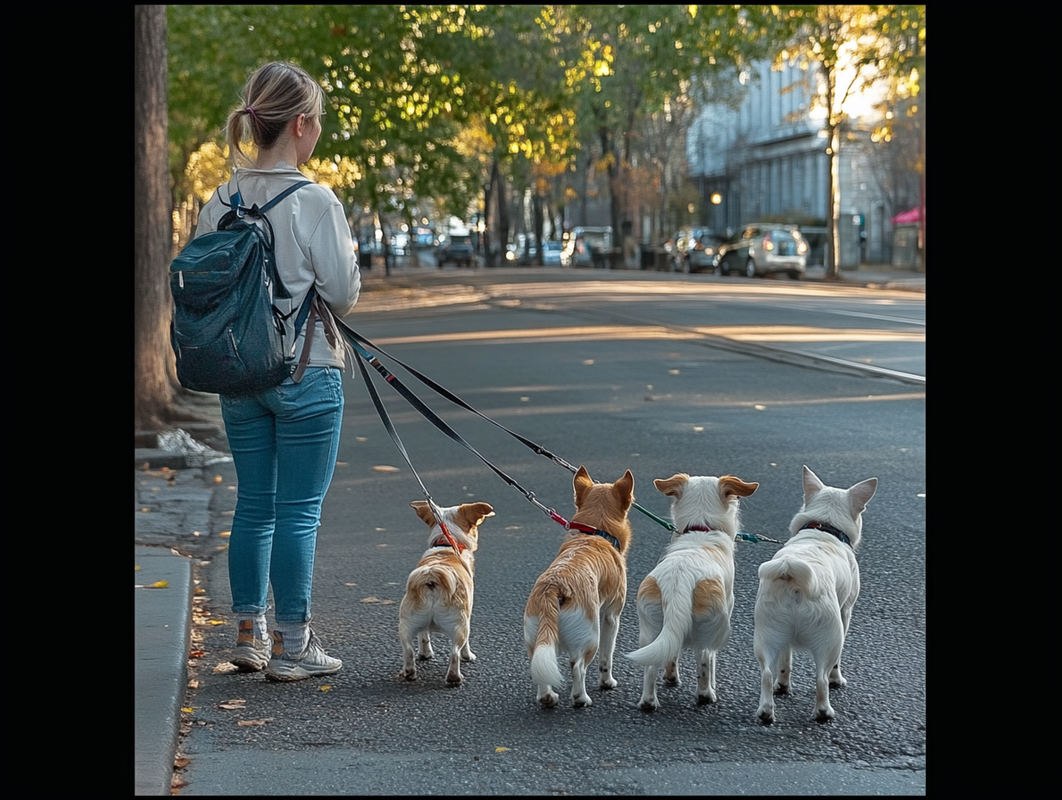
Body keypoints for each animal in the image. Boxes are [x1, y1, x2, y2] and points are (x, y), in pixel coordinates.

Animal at [399, 499, 494, 679]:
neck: (446, 543)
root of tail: (431, 578)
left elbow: (424, 636)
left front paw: (426, 654)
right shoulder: (468, 614)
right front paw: (468, 656)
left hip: (407, 622)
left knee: (408, 649)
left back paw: (409, 672)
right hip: (460, 625)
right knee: (455, 653)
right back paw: (454, 678)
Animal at [522, 465, 628, 709]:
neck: (597, 532)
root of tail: (553, 586)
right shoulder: (611, 616)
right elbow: (607, 657)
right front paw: (607, 682)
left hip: (537, 637)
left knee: (540, 669)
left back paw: (548, 697)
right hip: (591, 636)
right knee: (578, 666)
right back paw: (581, 698)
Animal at [624, 471, 760, 709]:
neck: (701, 527)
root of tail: (679, 579)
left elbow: (671, 654)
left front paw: (671, 677)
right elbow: (710, 663)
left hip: (649, 629)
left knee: (651, 666)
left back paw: (649, 701)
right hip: (713, 627)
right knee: (704, 659)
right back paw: (706, 695)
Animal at [756, 465, 879, 722]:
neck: (824, 526)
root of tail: (791, 573)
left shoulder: (784, 643)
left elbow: (785, 662)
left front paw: (784, 685)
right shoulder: (845, 612)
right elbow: (834, 667)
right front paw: (837, 680)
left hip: (766, 634)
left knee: (766, 674)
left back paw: (766, 711)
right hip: (831, 637)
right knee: (821, 678)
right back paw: (824, 711)